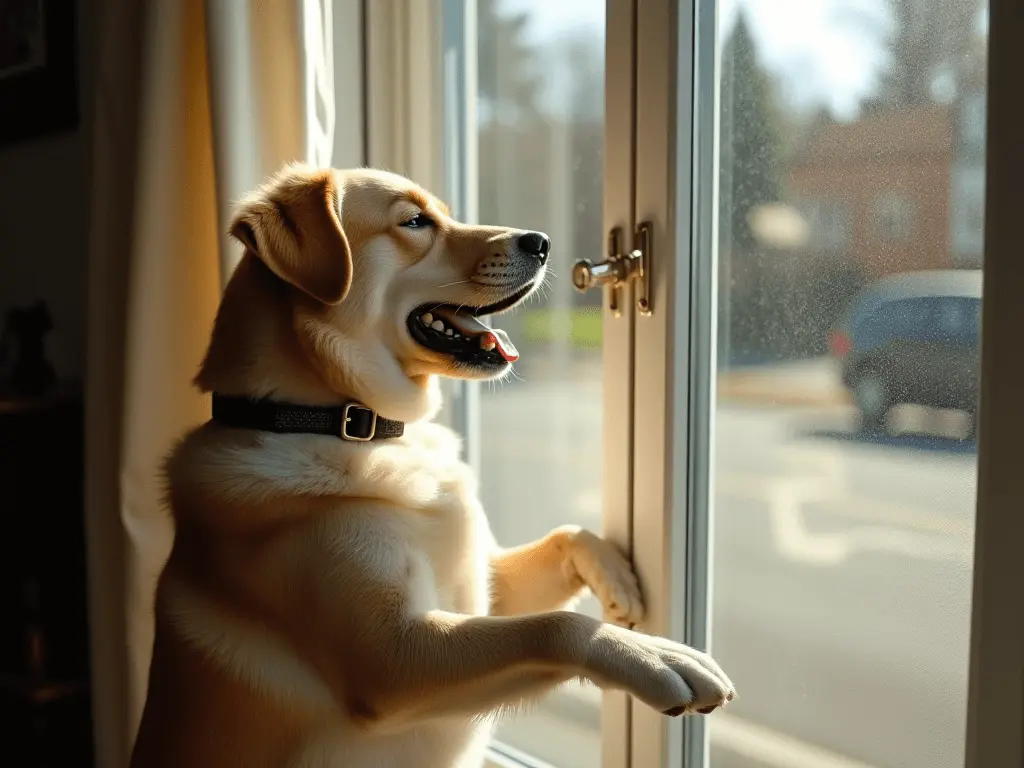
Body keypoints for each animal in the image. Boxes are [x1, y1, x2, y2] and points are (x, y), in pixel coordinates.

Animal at [130, 165, 737, 765]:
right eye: (415, 221)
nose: (541, 243)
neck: (344, 425)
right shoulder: (391, 661)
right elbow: (554, 628)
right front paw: (658, 657)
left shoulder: (483, 586)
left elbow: (567, 537)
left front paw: (619, 581)